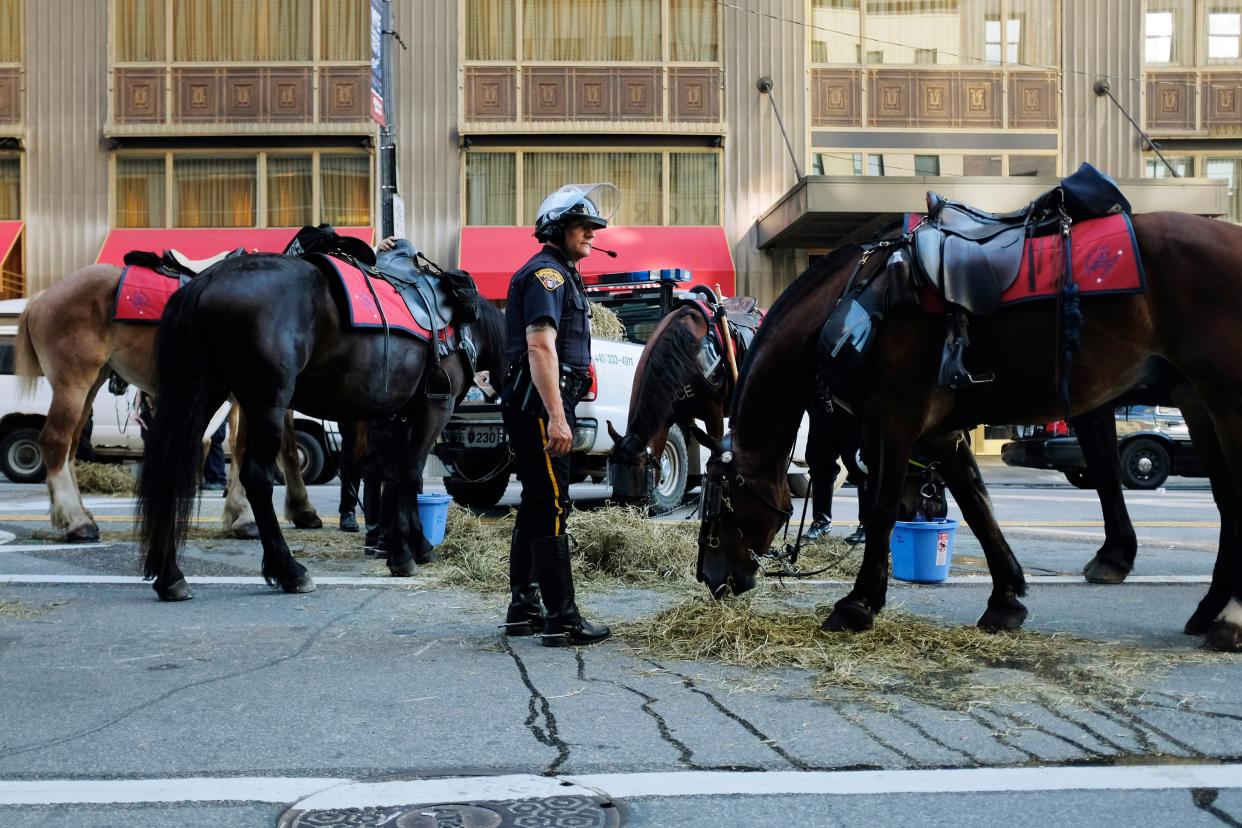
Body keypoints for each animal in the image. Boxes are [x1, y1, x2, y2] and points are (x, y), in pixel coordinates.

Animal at [14, 261, 322, 541]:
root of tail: (44, 297)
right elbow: (258, 449)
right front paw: (253, 517)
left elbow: (260, 448)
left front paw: (257, 514)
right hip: (73, 383)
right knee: (56, 441)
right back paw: (77, 522)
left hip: (90, 384)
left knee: (71, 445)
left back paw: (76, 515)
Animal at [137, 248, 504, 603]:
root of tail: (206, 281)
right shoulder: (434, 407)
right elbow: (411, 475)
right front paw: (403, 555)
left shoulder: (399, 415)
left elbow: (400, 476)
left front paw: (417, 545)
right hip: (266, 403)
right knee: (257, 478)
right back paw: (289, 570)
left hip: (204, 393)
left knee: (172, 469)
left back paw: (170, 576)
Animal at [695, 213, 1242, 655]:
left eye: (719, 503)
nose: (711, 578)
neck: (854, 304)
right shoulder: (940, 434)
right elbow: (979, 508)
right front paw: (1005, 599)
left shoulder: (893, 421)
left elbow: (882, 510)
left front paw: (858, 602)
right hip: (1197, 400)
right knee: (1225, 500)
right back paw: (1210, 608)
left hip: (1224, 397)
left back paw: (1229, 617)